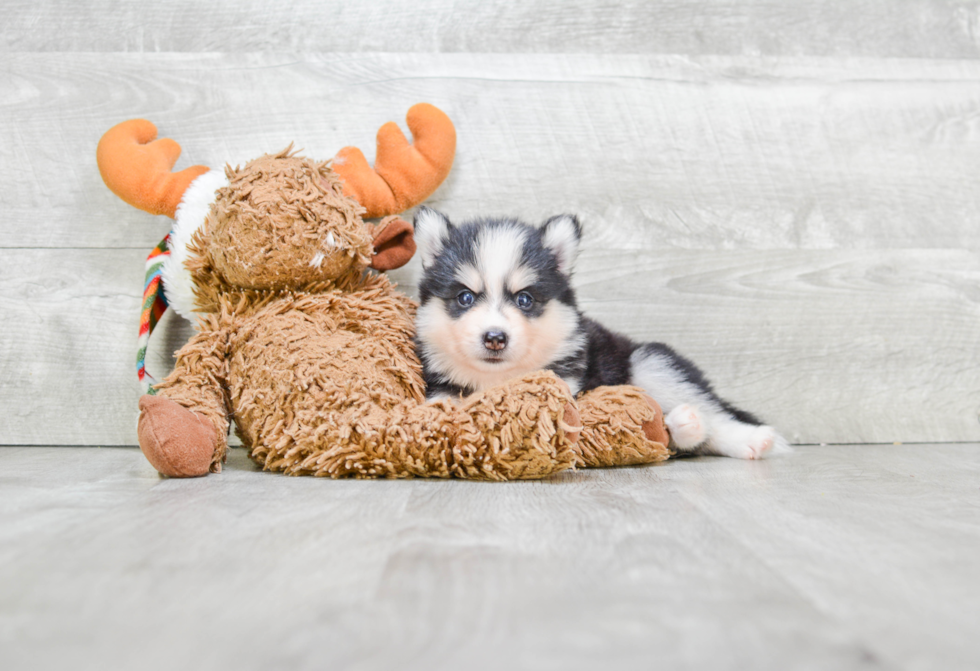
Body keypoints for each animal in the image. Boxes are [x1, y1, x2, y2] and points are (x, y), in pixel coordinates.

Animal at [412, 209, 788, 462]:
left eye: (524, 299)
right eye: (465, 297)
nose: (494, 337)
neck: (498, 380)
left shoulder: (569, 387)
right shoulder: (441, 389)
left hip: (650, 361)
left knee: (714, 416)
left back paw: (746, 438)